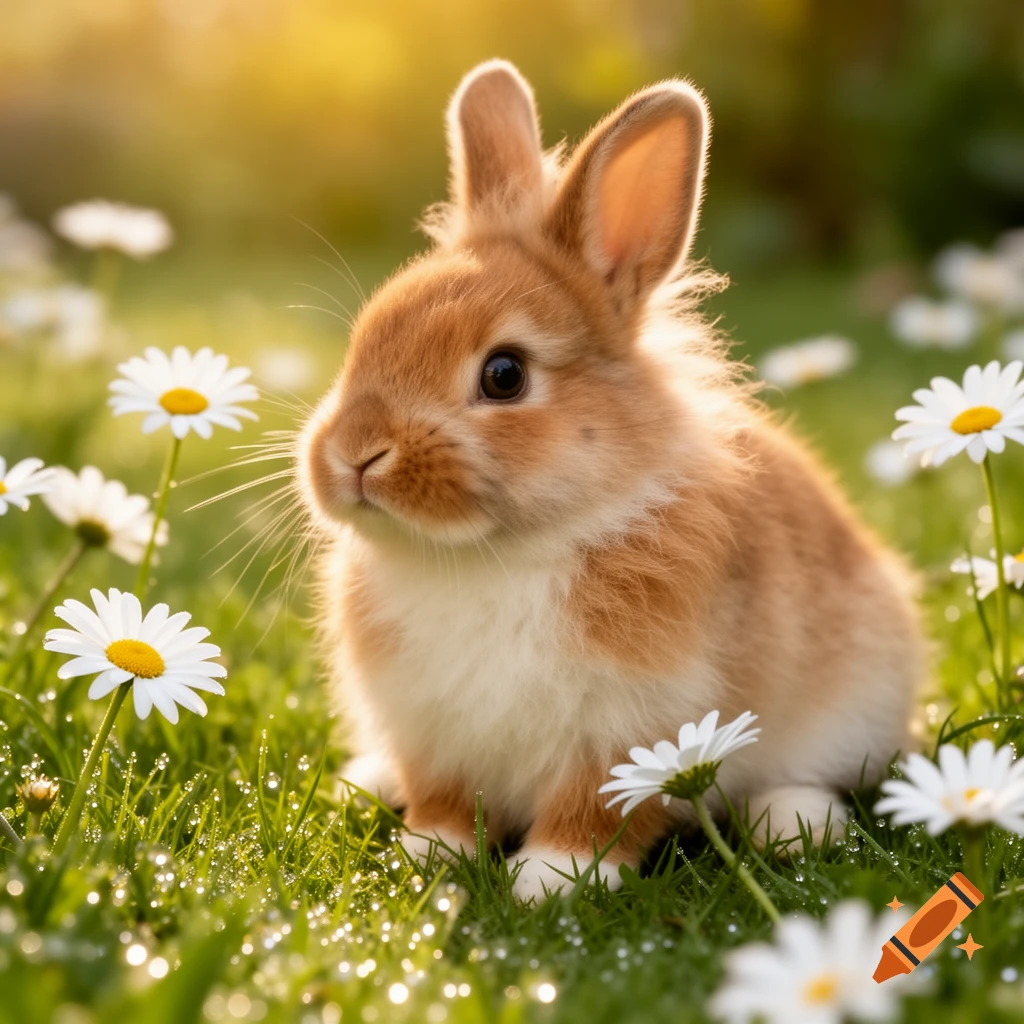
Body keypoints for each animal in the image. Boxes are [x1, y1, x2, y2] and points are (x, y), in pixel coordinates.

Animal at [298, 59, 924, 901]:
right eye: (364, 340)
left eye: (504, 375)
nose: (356, 454)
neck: (498, 552)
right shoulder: (430, 725)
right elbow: (443, 803)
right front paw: (426, 857)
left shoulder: (632, 728)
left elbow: (596, 814)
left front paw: (550, 882)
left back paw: (796, 823)